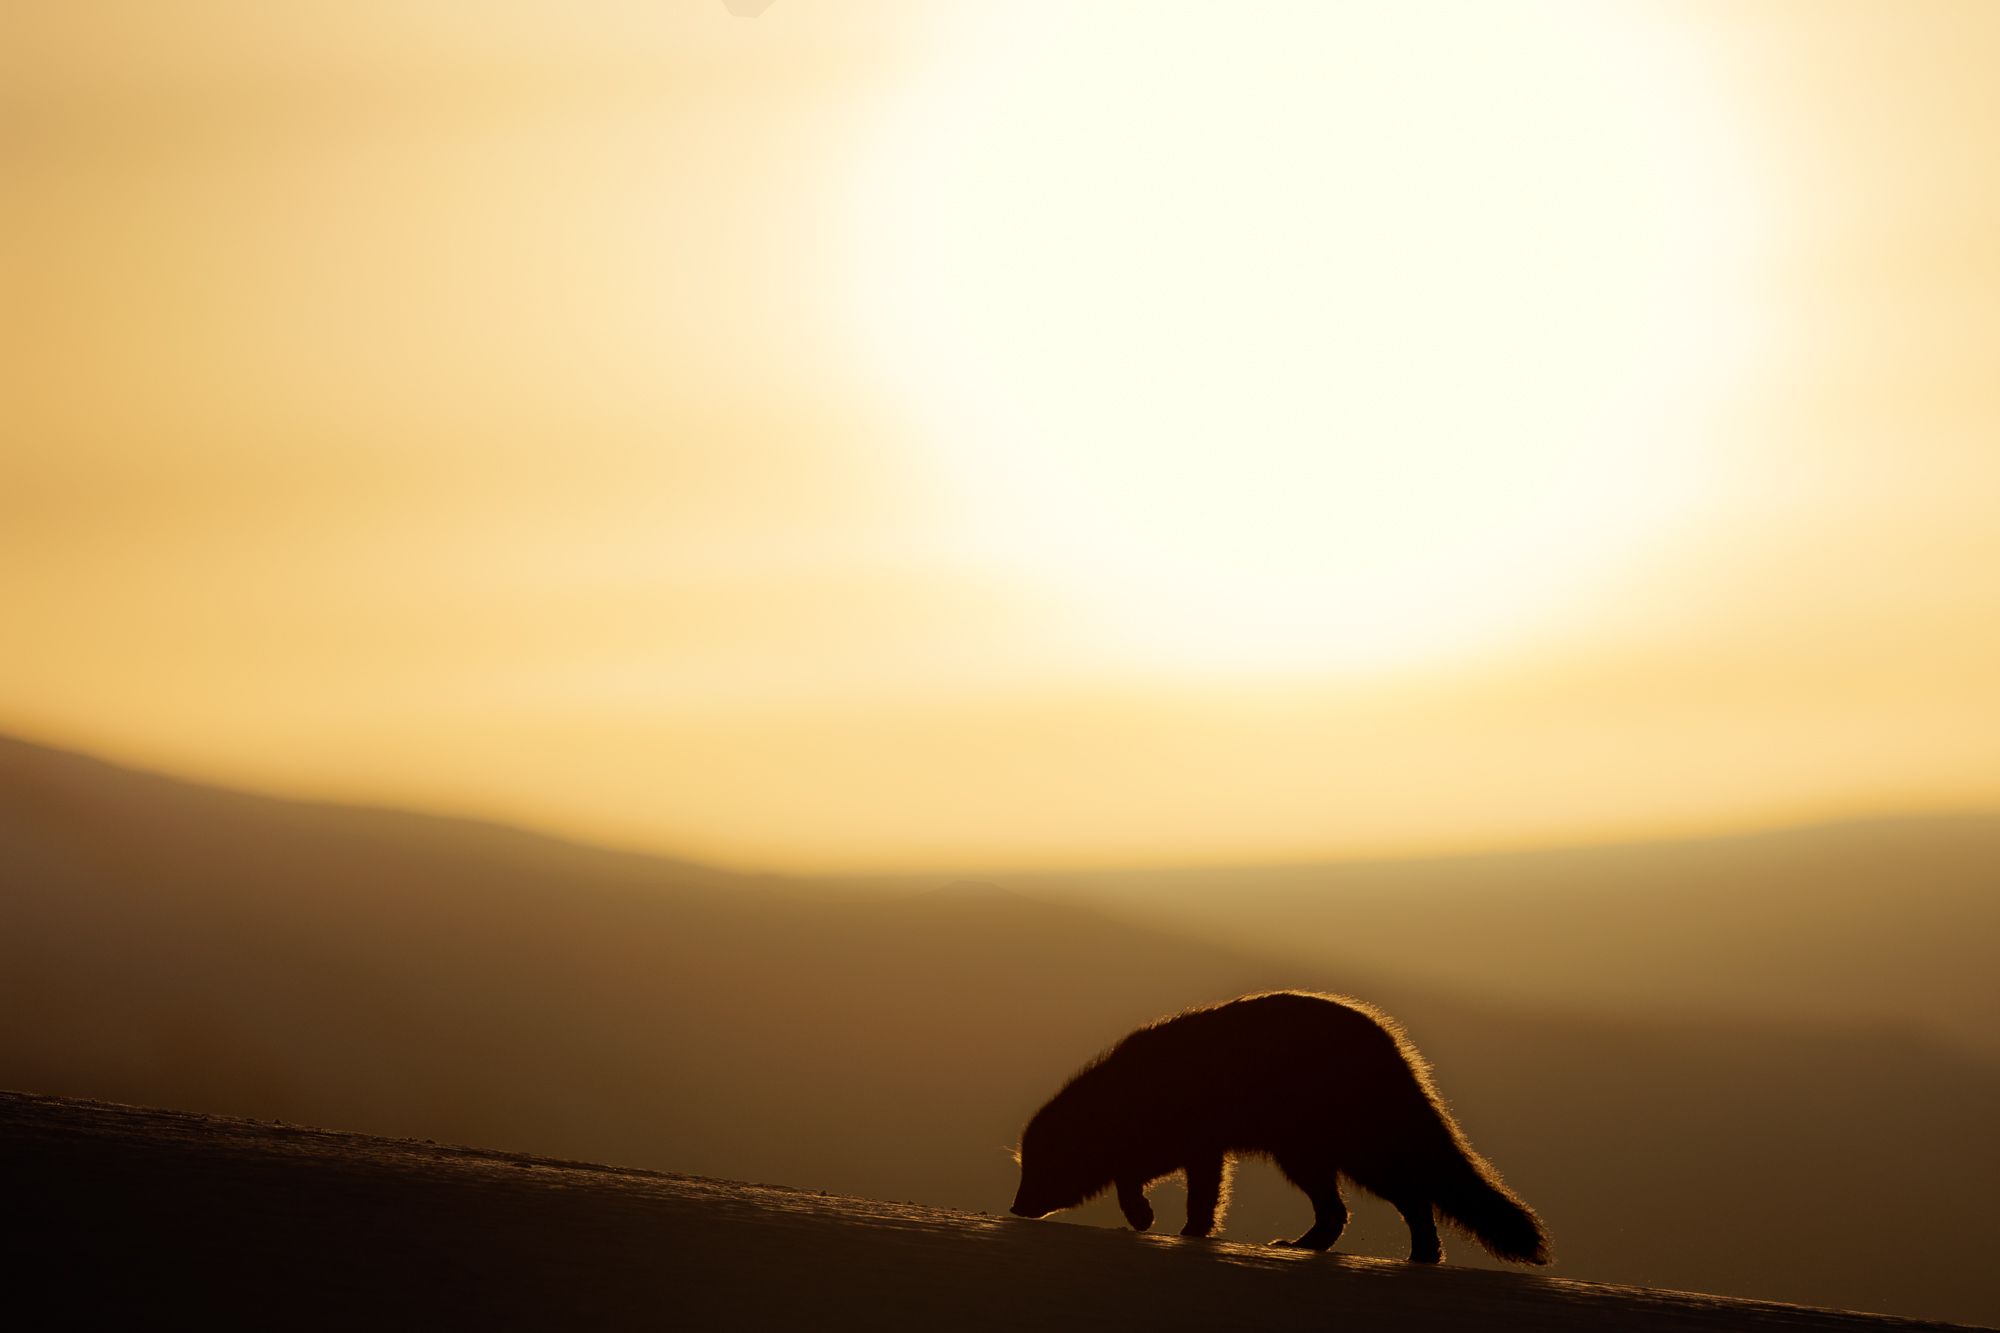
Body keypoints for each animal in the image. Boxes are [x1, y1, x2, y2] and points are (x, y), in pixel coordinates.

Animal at [1009, 990, 1551, 1265]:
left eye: (1038, 1167)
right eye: (1024, 1167)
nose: (1014, 1207)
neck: (1125, 1094)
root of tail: (1395, 1051)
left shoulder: (1189, 1143)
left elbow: (1143, 1181)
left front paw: (1150, 1219)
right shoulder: (1201, 1150)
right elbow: (1193, 1193)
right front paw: (1188, 1231)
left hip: (1349, 1152)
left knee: (1409, 1199)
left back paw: (1421, 1253)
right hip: (1308, 1155)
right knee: (1343, 1212)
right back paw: (1310, 1246)